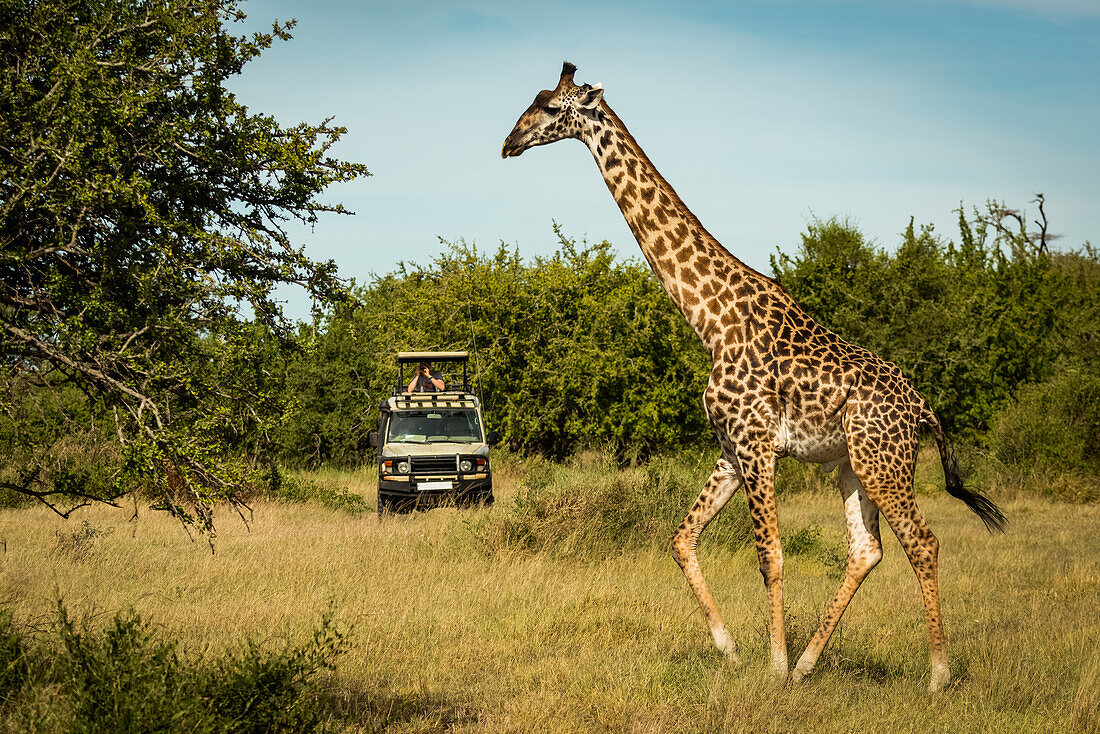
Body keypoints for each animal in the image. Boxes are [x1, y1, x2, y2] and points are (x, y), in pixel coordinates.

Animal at [501, 61, 1007, 691]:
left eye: (550, 108)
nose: (508, 142)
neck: (709, 319)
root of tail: (924, 410)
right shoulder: (729, 445)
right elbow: (682, 538)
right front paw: (732, 649)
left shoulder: (756, 442)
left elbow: (770, 554)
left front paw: (773, 665)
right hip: (851, 465)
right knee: (866, 549)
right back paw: (813, 663)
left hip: (882, 461)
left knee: (923, 542)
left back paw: (935, 674)